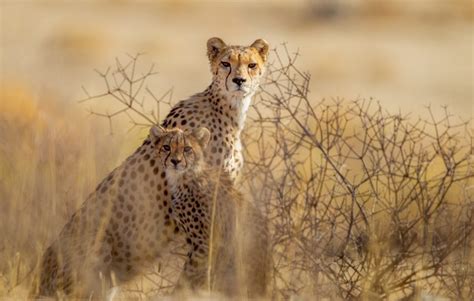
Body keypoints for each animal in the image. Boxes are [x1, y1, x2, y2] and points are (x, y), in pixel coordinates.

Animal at [152, 125, 270, 296]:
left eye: (187, 149)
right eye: (166, 147)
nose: (175, 161)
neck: (183, 178)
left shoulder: (206, 244)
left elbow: (188, 275)